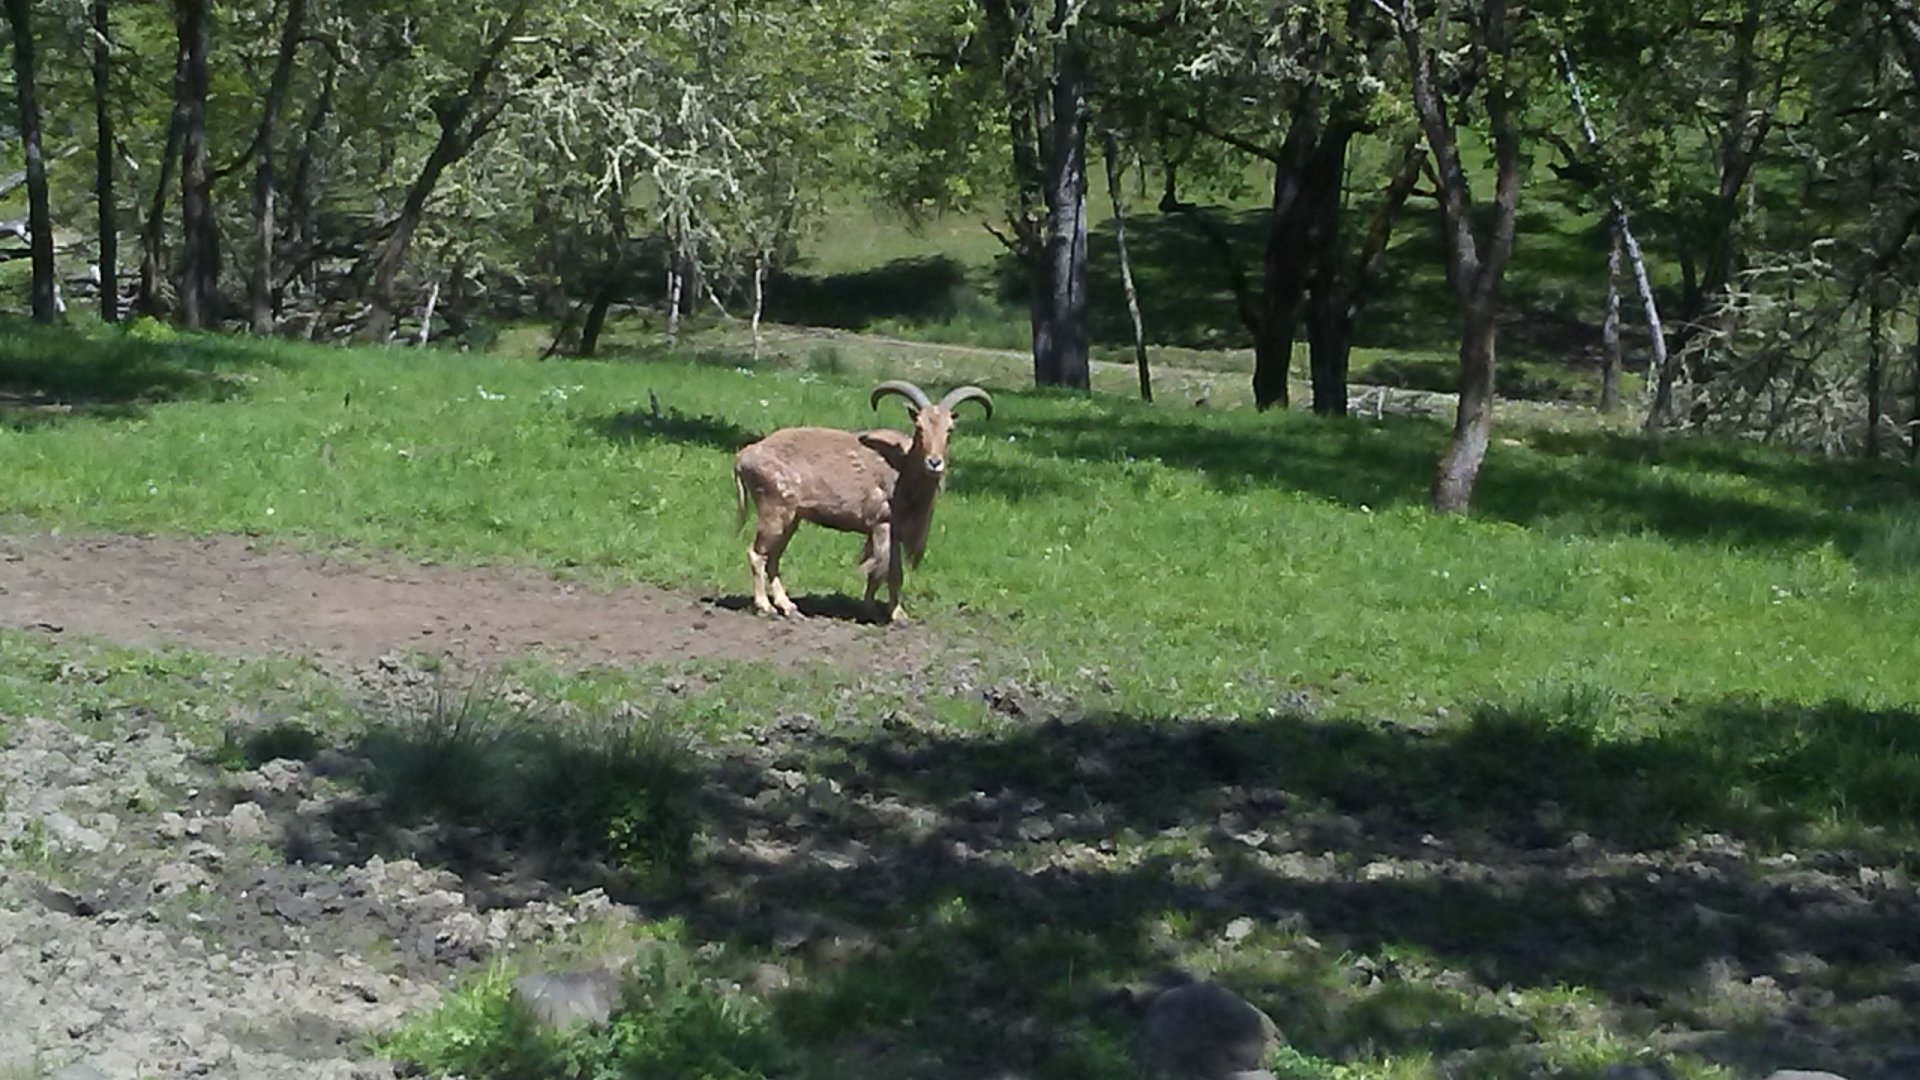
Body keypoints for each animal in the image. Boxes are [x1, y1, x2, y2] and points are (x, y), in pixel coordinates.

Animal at [732, 379, 993, 623]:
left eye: (950, 429)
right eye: (919, 427)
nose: (934, 462)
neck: (902, 470)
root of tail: (743, 456)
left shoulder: (892, 532)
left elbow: (886, 571)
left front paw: (889, 611)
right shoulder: (883, 524)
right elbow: (886, 570)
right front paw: (885, 613)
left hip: (791, 518)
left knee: (773, 558)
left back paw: (789, 607)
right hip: (774, 511)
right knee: (757, 554)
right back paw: (765, 607)